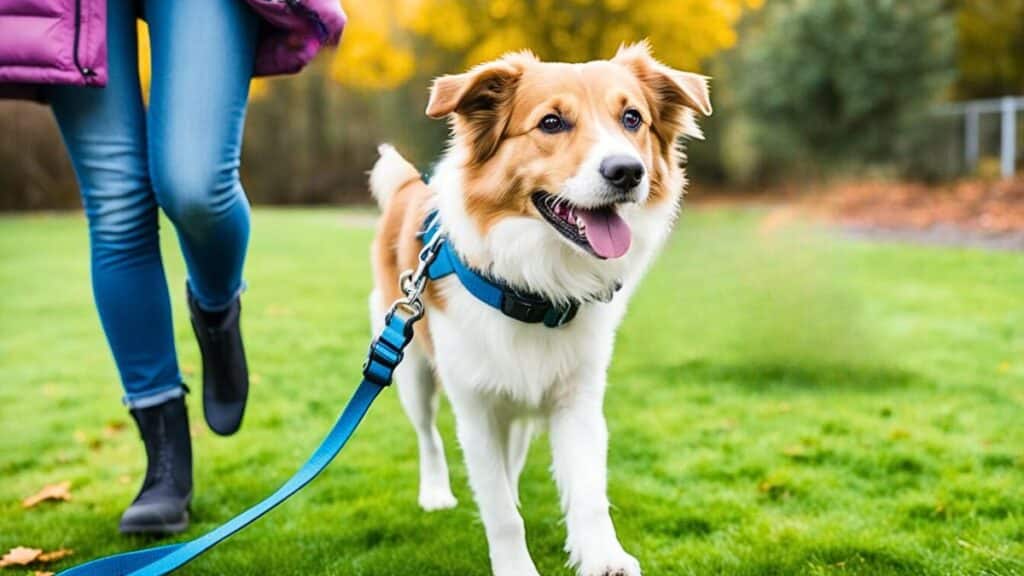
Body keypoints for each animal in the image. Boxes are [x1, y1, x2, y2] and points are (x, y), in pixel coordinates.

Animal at [368, 41, 712, 573]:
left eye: (632, 118)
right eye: (551, 123)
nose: (627, 171)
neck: (534, 287)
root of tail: (409, 188)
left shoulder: (576, 400)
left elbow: (588, 494)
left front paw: (603, 557)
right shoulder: (475, 410)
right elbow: (500, 513)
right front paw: (514, 564)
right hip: (411, 368)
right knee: (428, 436)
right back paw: (436, 493)